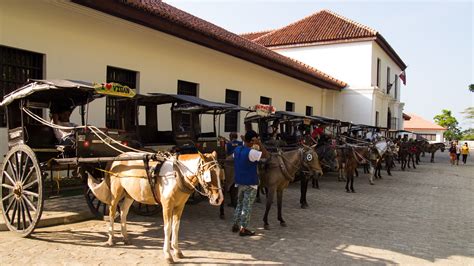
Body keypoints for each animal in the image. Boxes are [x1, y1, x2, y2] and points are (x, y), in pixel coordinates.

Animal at [87, 152, 224, 264]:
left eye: (219, 172)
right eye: (210, 173)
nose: (219, 199)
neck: (176, 174)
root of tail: (116, 158)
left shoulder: (179, 206)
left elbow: (176, 227)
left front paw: (177, 251)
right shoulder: (167, 206)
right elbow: (167, 229)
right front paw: (168, 255)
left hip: (129, 194)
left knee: (123, 212)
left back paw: (125, 237)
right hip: (116, 194)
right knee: (111, 212)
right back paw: (110, 239)